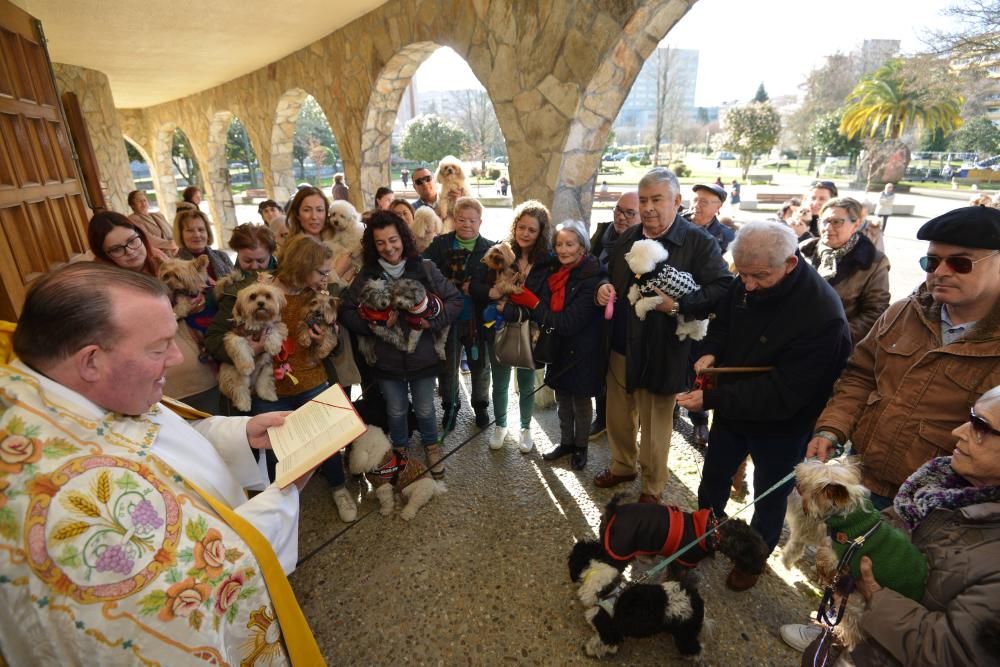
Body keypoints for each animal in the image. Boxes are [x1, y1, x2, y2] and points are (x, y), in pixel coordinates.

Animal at [215, 282, 286, 412]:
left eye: (268, 296)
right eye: (253, 297)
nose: (261, 303)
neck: (258, 323)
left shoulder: (278, 327)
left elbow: (273, 330)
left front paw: (273, 346)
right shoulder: (235, 336)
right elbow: (240, 347)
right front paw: (247, 366)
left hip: (266, 368)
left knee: (264, 383)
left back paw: (268, 395)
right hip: (234, 375)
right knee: (239, 389)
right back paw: (243, 404)